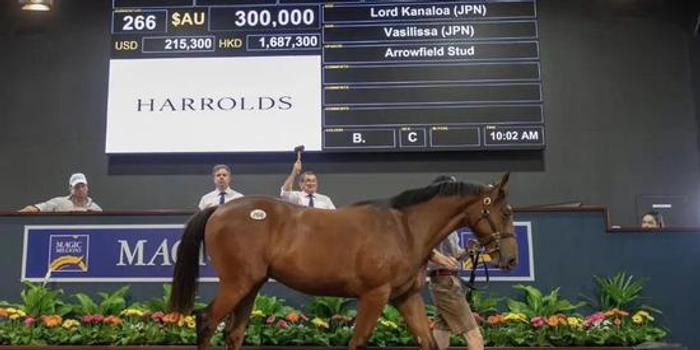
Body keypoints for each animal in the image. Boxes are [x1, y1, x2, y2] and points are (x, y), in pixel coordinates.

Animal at [171, 174, 516, 350]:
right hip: (237, 283)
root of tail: (220, 209)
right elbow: (359, 341)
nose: (510, 258)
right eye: (506, 211)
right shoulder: (375, 295)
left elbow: (427, 341)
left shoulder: (406, 296)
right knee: (206, 321)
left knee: (234, 332)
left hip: (251, 285)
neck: (404, 227)